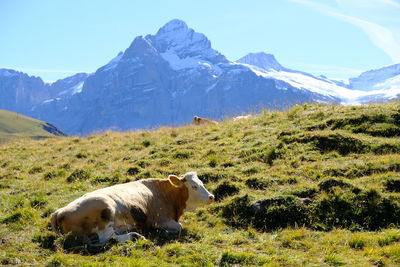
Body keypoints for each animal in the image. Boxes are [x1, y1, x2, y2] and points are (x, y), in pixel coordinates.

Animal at [51, 173, 214, 246]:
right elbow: (178, 226)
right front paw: (164, 232)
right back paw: (135, 236)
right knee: (107, 238)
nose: (211, 196)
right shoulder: (160, 219)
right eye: (194, 186)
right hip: (106, 208)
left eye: (202, 182)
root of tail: (59, 211)